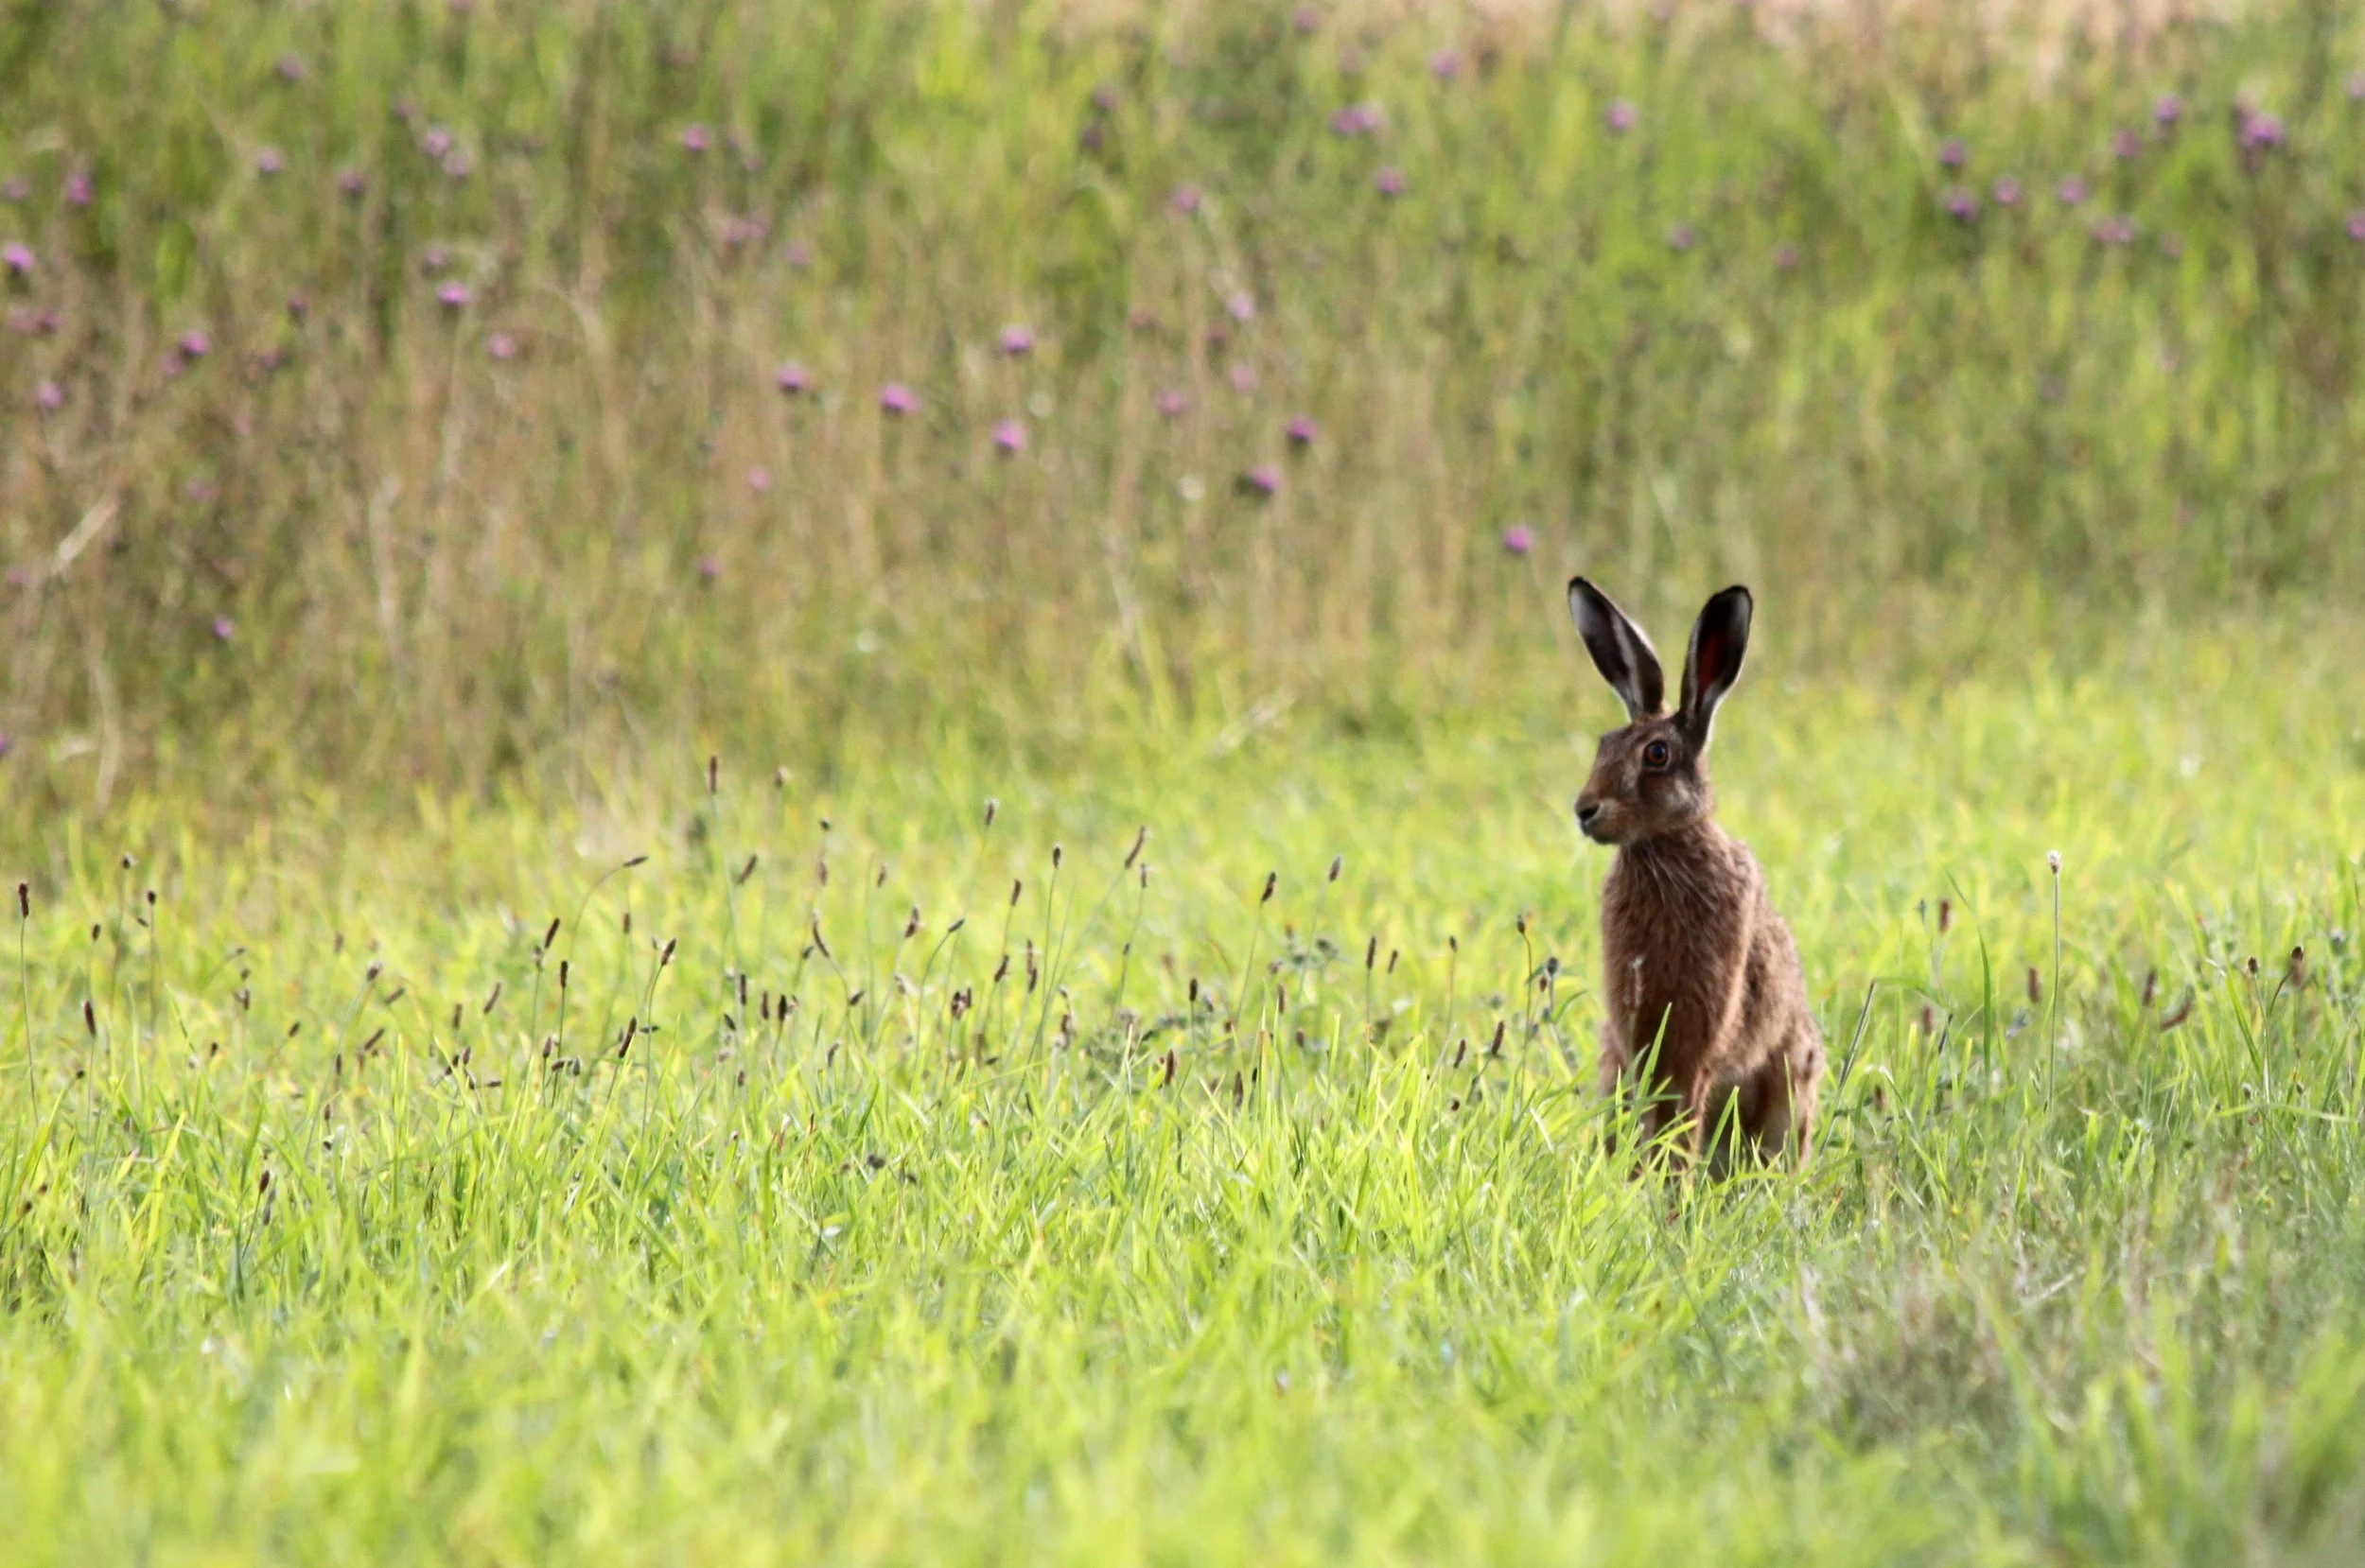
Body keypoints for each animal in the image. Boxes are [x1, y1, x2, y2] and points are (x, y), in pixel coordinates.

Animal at [1565, 577, 1823, 1169]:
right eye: (1602, 745)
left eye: (1656, 754)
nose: (1584, 810)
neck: (1664, 846)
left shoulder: (1698, 1033)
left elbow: (1678, 1116)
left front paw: (1667, 1184)